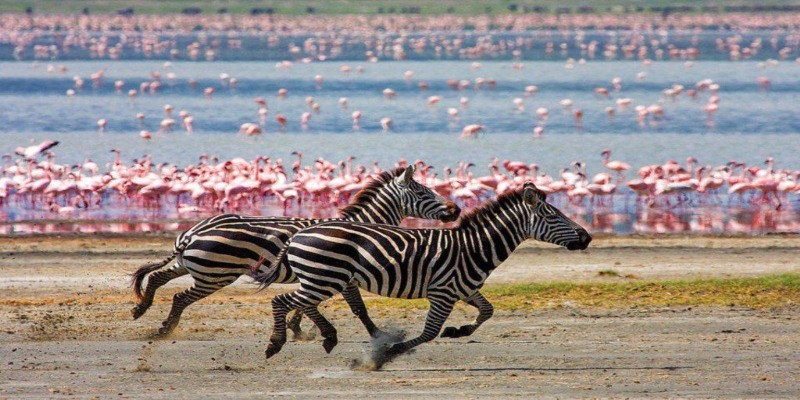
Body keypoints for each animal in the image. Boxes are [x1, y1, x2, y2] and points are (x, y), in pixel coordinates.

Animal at [130, 165, 460, 335]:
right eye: (423, 192)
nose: (456, 209)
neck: (363, 226)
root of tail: (193, 232)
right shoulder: (345, 277)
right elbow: (357, 307)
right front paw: (376, 334)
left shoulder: (321, 276)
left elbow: (306, 303)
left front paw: (295, 327)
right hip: (215, 275)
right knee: (180, 296)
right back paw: (164, 329)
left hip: (192, 265)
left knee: (158, 278)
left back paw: (141, 308)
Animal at [255, 182, 591, 367]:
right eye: (553, 216)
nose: (587, 237)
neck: (475, 247)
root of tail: (299, 234)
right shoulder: (443, 294)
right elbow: (429, 333)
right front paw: (386, 355)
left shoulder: (464, 289)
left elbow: (487, 310)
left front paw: (459, 331)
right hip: (324, 278)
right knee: (281, 301)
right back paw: (275, 344)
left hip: (322, 279)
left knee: (295, 303)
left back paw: (323, 338)